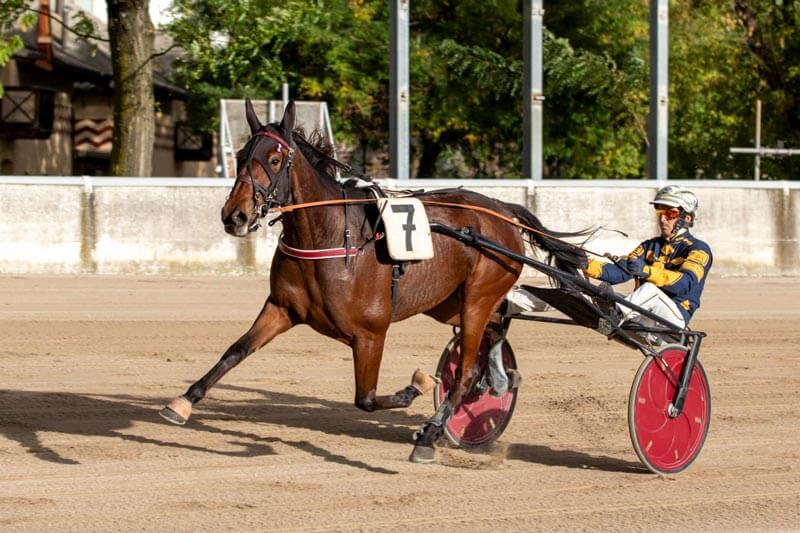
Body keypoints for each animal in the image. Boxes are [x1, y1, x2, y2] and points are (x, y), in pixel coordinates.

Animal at [162, 100, 588, 462]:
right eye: (239, 157)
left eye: (275, 158)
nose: (233, 216)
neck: (331, 237)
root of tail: (502, 210)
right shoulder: (281, 309)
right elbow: (234, 351)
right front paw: (181, 402)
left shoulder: (370, 333)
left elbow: (365, 398)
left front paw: (418, 385)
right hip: (447, 302)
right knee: (497, 325)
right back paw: (499, 379)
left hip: (477, 298)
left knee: (466, 369)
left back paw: (432, 432)